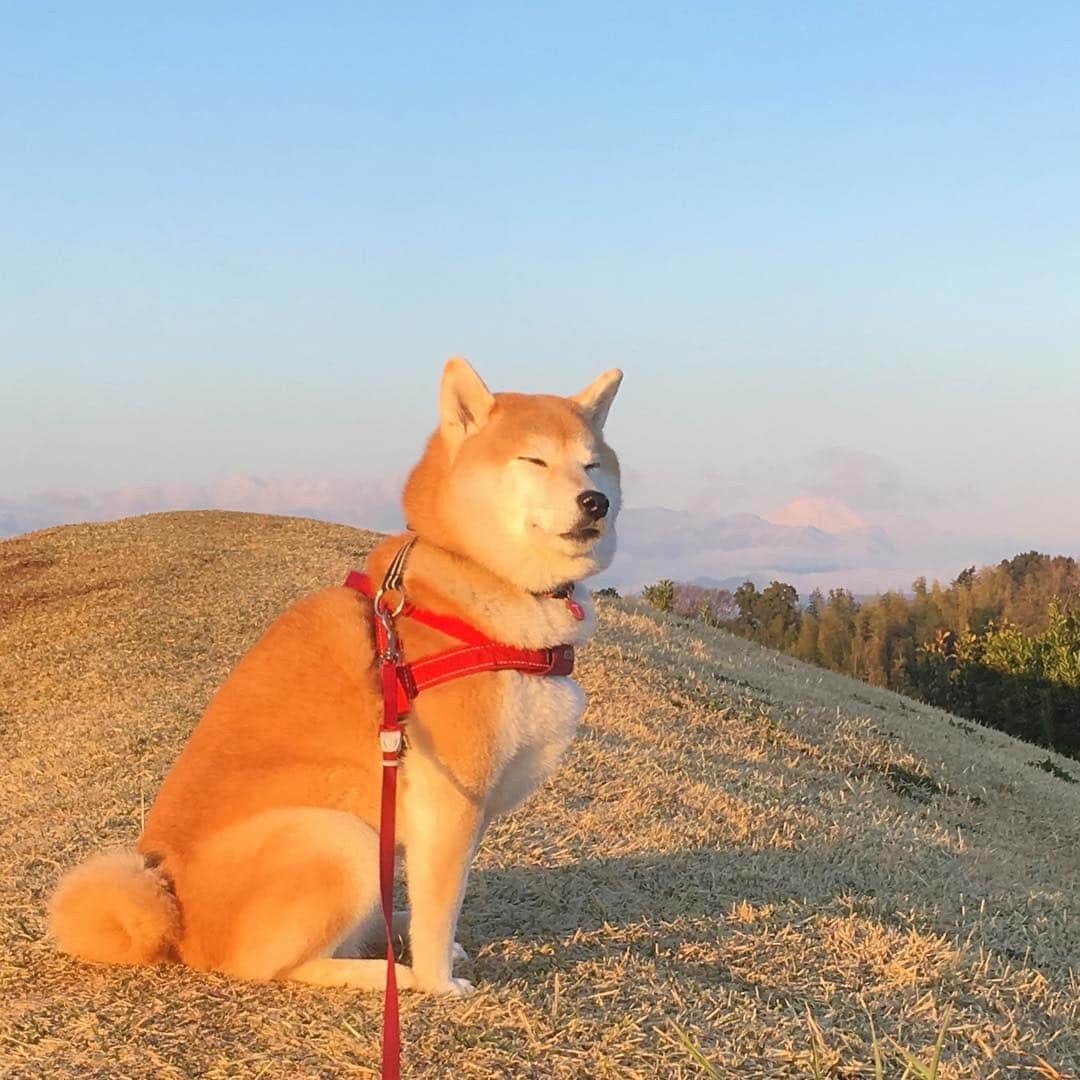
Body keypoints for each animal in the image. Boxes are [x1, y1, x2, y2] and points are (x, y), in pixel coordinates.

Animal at [48, 358, 626, 997]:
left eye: (592, 463)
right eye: (534, 460)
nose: (595, 501)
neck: (474, 582)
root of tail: (175, 921)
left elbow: (441, 901)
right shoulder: (451, 797)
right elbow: (441, 905)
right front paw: (437, 983)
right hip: (343, 838)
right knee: (277, 965)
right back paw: (386, 973)